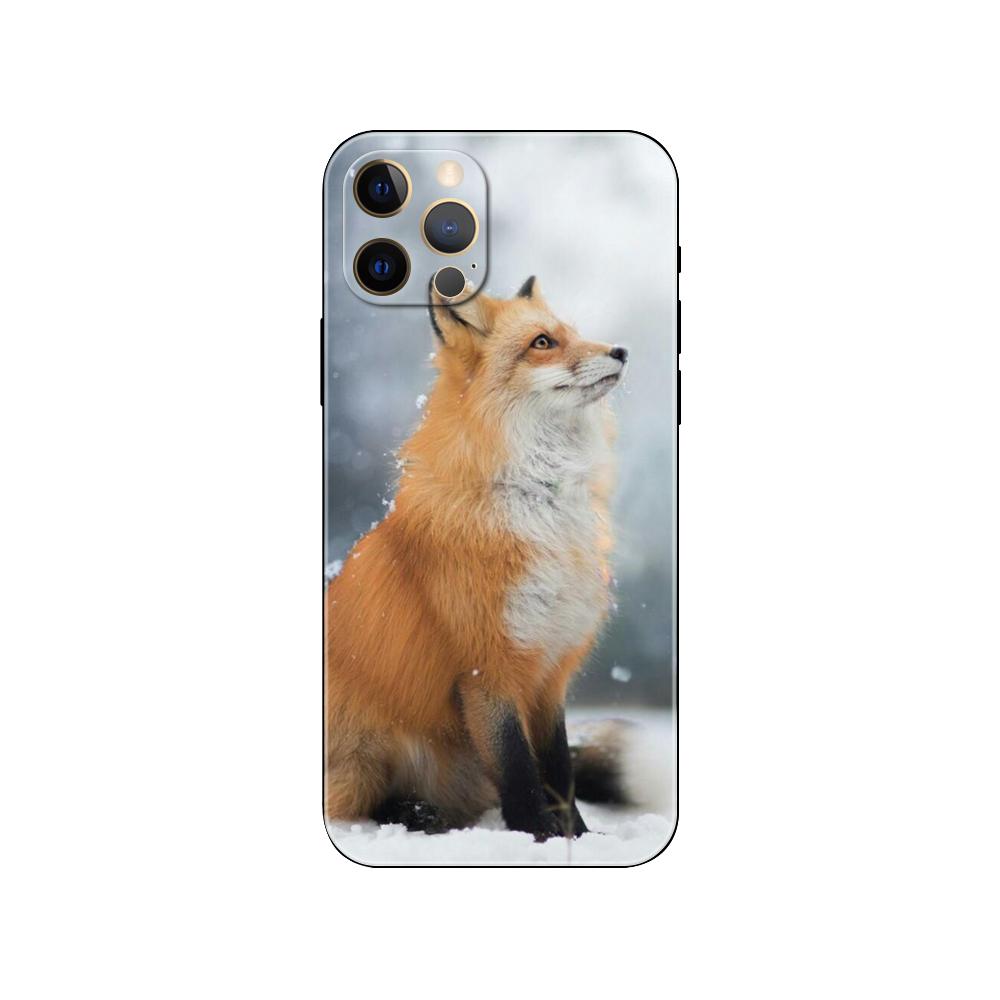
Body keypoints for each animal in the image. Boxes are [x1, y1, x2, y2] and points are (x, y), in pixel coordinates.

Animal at [324, 275, 630, 841]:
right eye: (543, 342)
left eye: (573, 333)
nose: (621, 351)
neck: (539, 502)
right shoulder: (485, 669)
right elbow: (519, 770)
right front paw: (537, 838)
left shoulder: (549, 671)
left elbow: (558, 769)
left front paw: (577, 838)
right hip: (364, 754)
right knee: (353, 802)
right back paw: (413, 813)